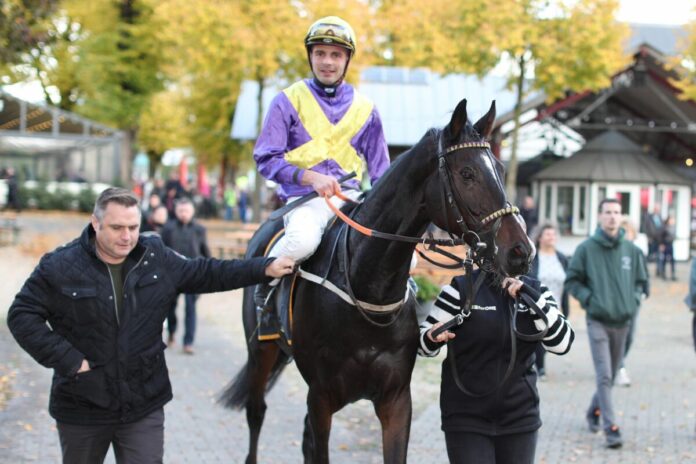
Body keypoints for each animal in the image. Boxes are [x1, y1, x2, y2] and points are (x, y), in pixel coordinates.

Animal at [220, 96, 536, 462]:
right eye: (467, 174)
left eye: (500, 170)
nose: (521, 251)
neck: (367, 287)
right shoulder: (321, 397)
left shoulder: (396, 399)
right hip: (261, 352)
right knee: (256, 412)